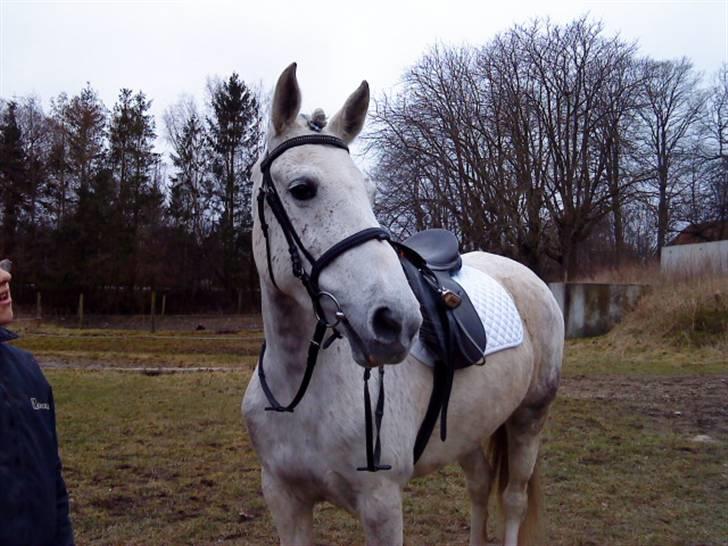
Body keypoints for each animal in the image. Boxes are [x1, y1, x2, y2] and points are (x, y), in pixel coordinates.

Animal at [243, 65, 564, 544]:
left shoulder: (381, 507)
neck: (301, 388)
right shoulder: (284, 500)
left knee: (513, 500)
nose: (396, 321)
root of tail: (528, 277)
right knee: (480, 484)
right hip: (470, 429)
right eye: (302, 189)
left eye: (371, 192)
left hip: (529, 418)